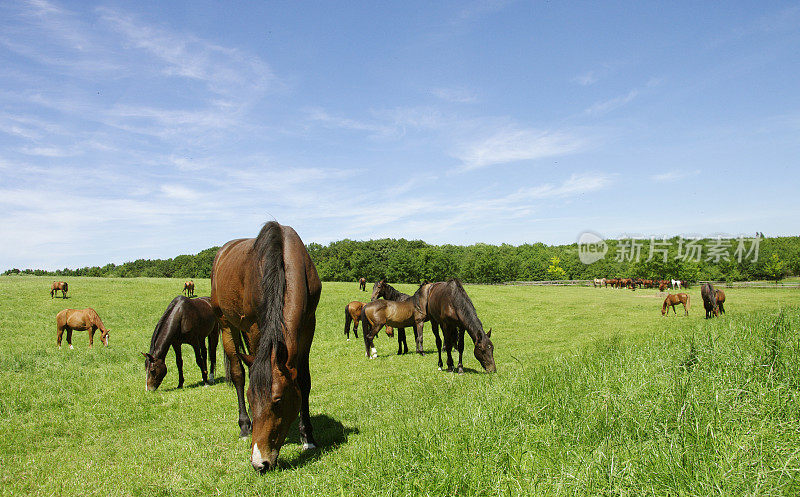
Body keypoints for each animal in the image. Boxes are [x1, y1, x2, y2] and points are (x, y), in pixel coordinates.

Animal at [209, 223, 322, 470]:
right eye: (252, 401)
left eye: (278, 401)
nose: (260, 462)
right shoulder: (254, 327)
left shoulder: (309, 324)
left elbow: (304, 381)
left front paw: (308, 437)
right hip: (225, 324)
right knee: (238, 373)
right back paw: (244, 426)